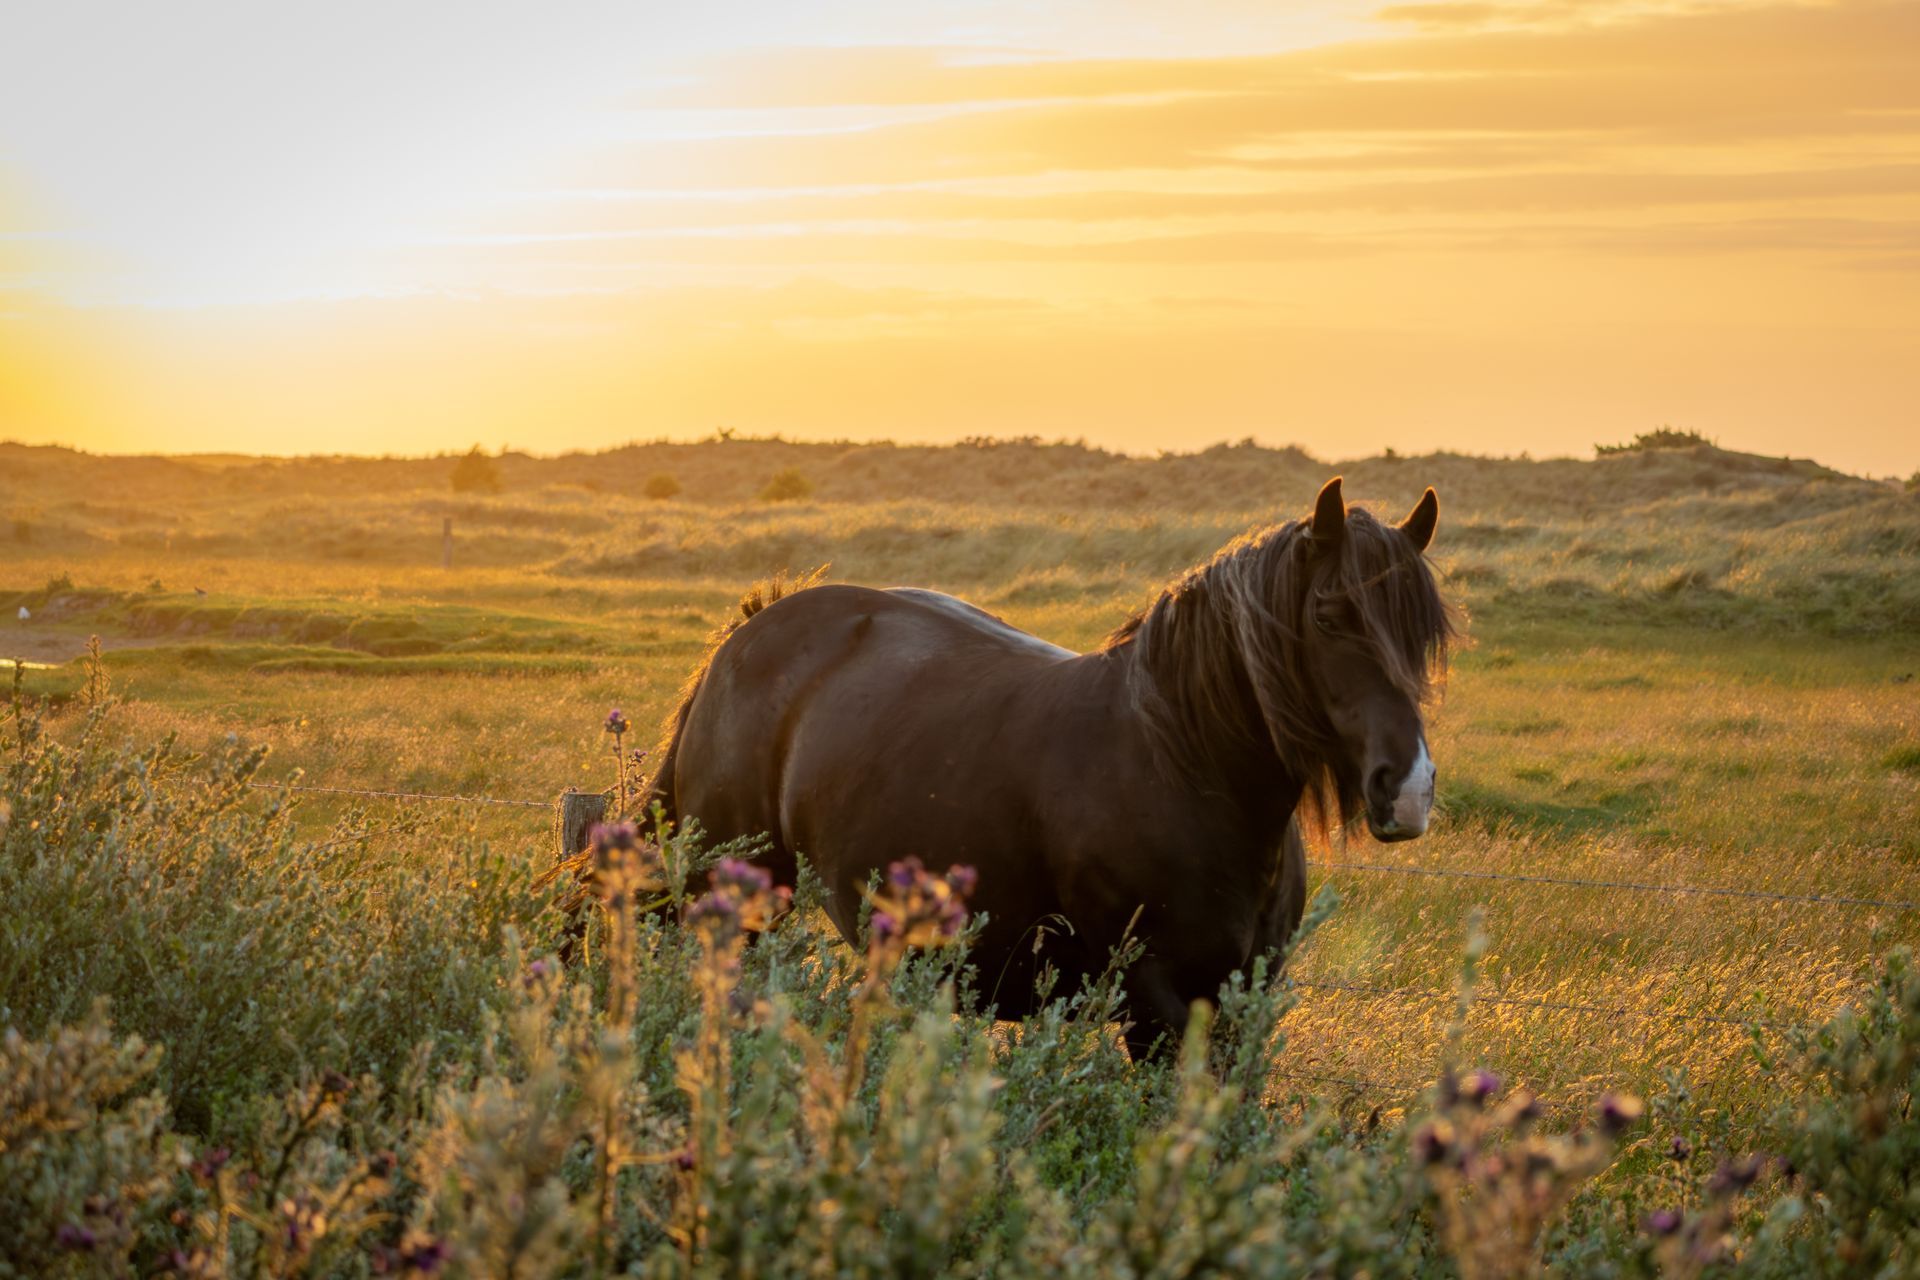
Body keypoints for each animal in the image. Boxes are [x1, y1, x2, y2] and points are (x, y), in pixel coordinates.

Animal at [642, 476, 1454, 1055]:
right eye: (1328, 617)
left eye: (1426, 636)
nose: (1408, 789)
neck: (1185, 767)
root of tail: (753, 629)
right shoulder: (1153, 1002)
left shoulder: (1241, 1001)